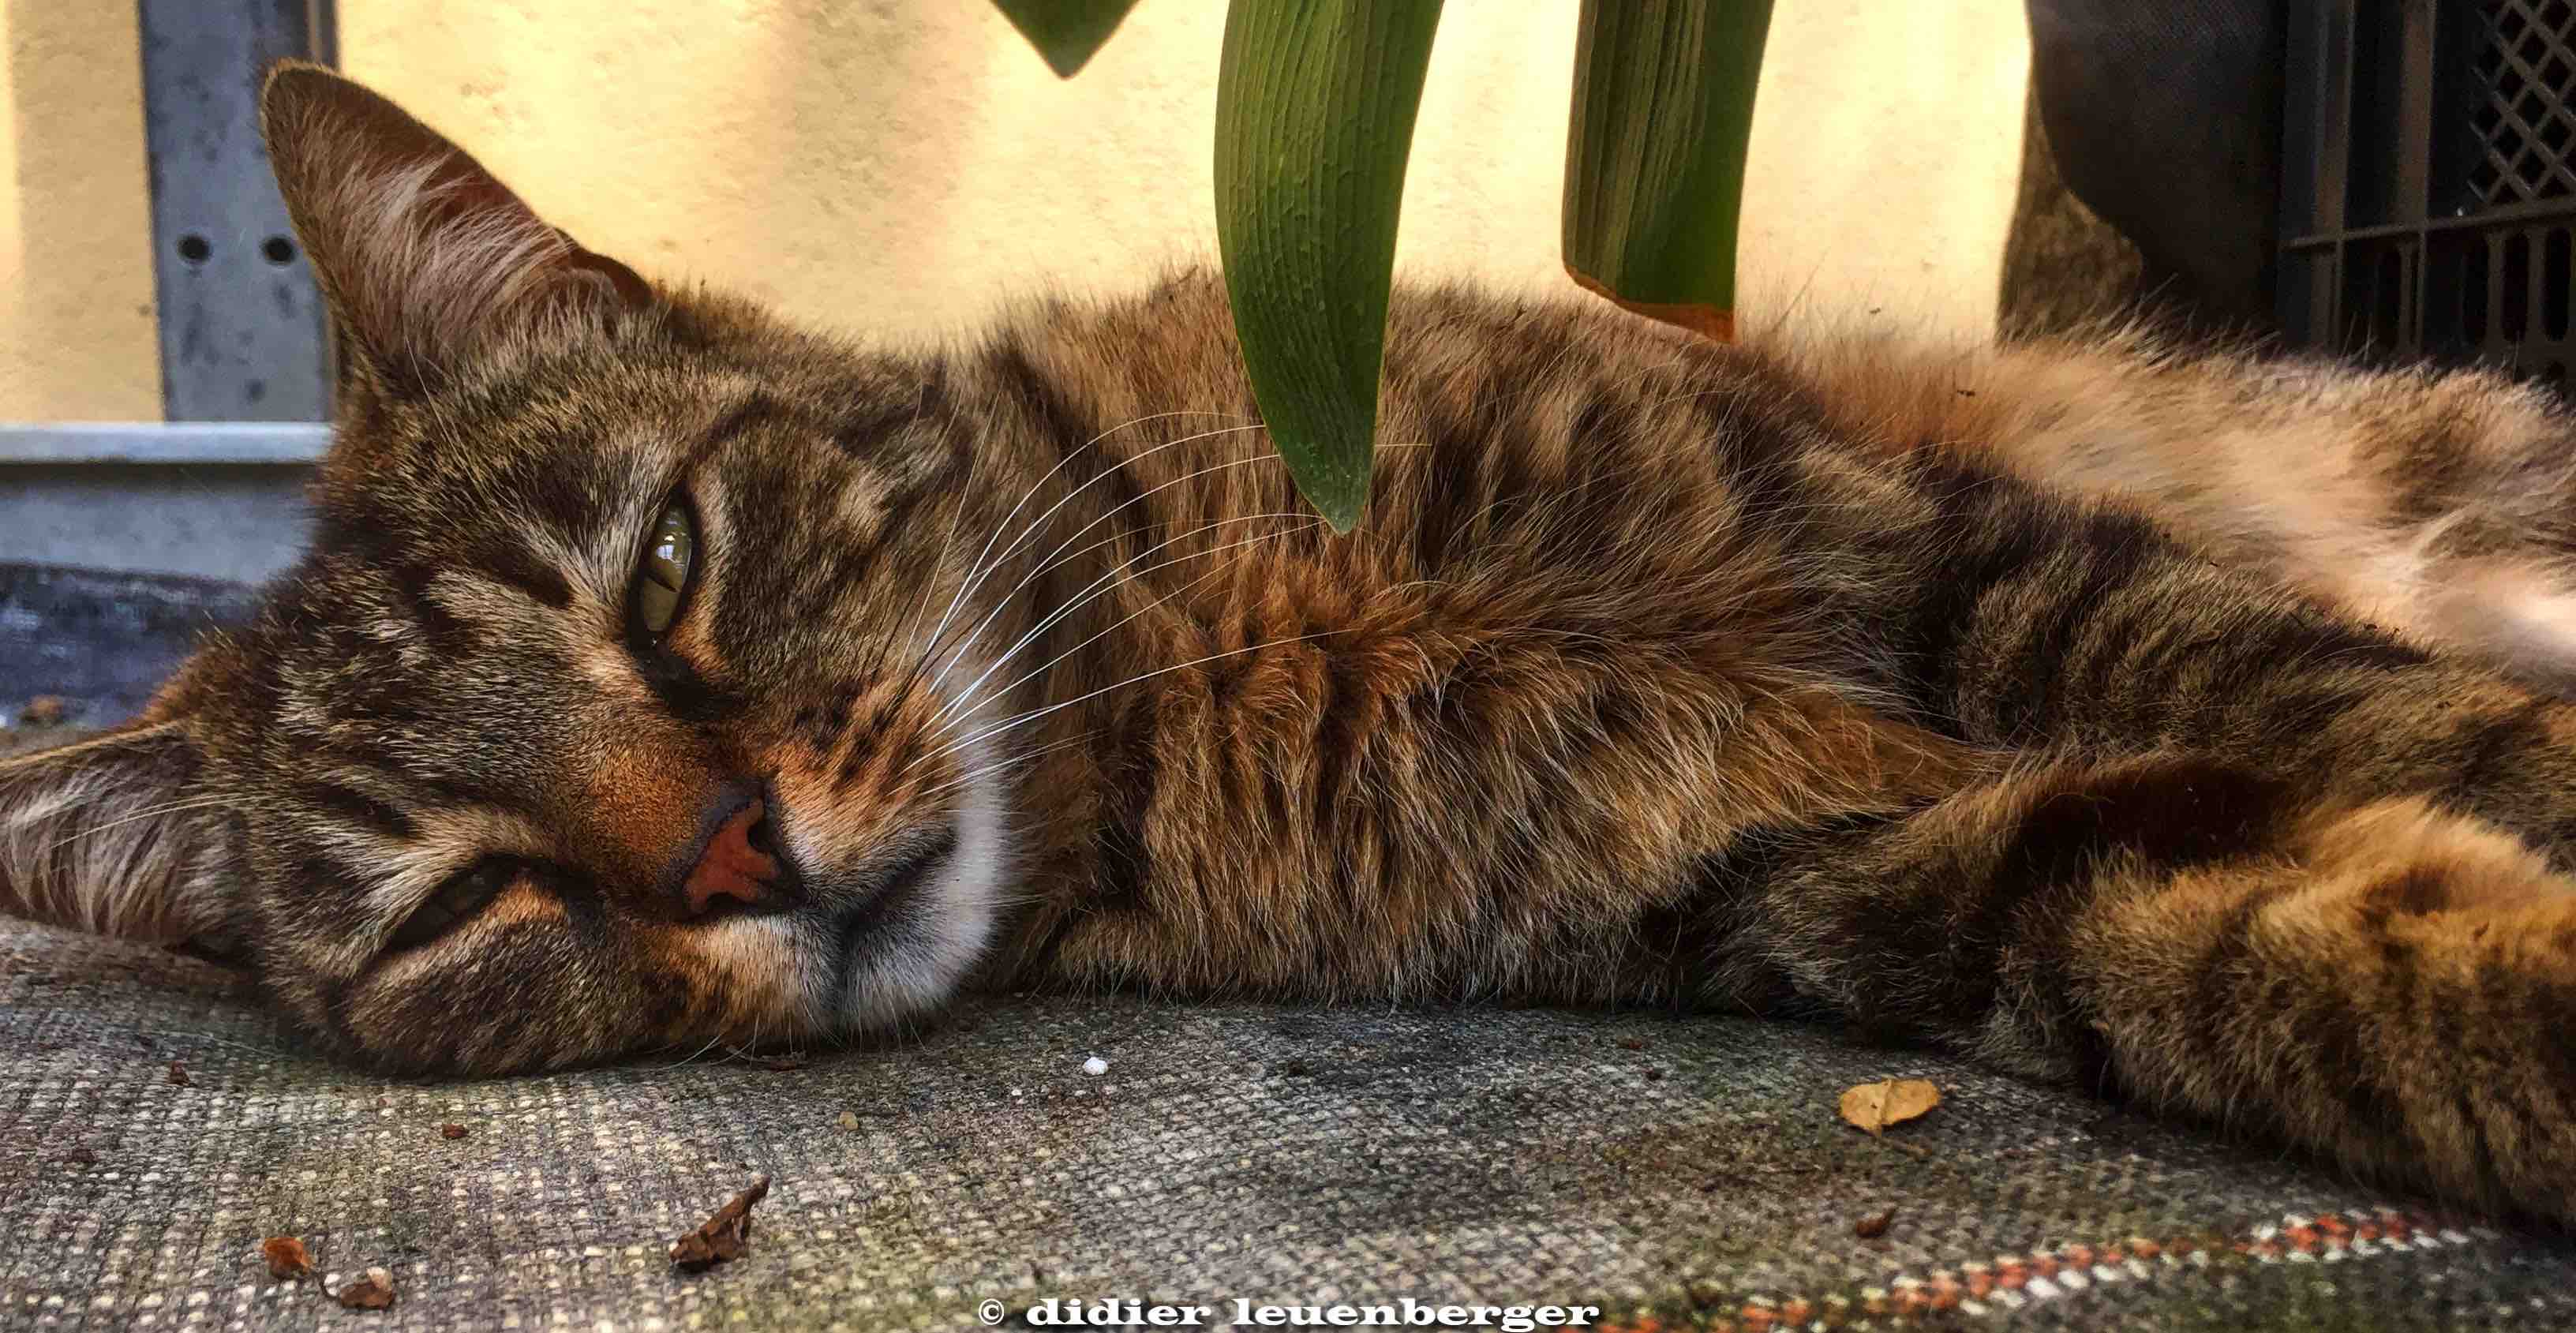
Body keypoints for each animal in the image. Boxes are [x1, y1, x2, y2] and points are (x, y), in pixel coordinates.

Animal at [5, 65, 2576, 1227]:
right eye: (467, 899)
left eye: (659, 569)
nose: (733, 849)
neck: (1190, 663)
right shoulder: (1811, 867)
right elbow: (2241, 931)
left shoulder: (1924, 553)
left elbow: (2358, 699)